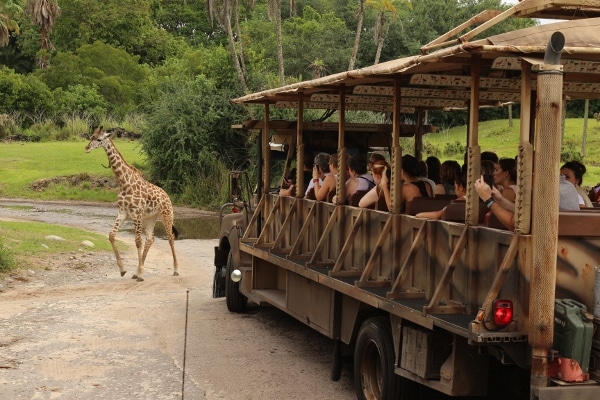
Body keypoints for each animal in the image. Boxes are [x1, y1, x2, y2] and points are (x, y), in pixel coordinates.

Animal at [85, 126, 178, 282]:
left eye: (99, 139)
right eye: (91, 136)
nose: (86, 148)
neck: (124, 182)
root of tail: (167, 196)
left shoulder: (136, 213)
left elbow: (137, 241)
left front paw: (139, 273)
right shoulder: (123, 212)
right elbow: (111, 235)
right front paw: (124, 270)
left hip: (166, 214)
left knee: (170, 237)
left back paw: (176, 270)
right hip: (150, 218)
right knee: (150, 239)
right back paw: (137, 271)